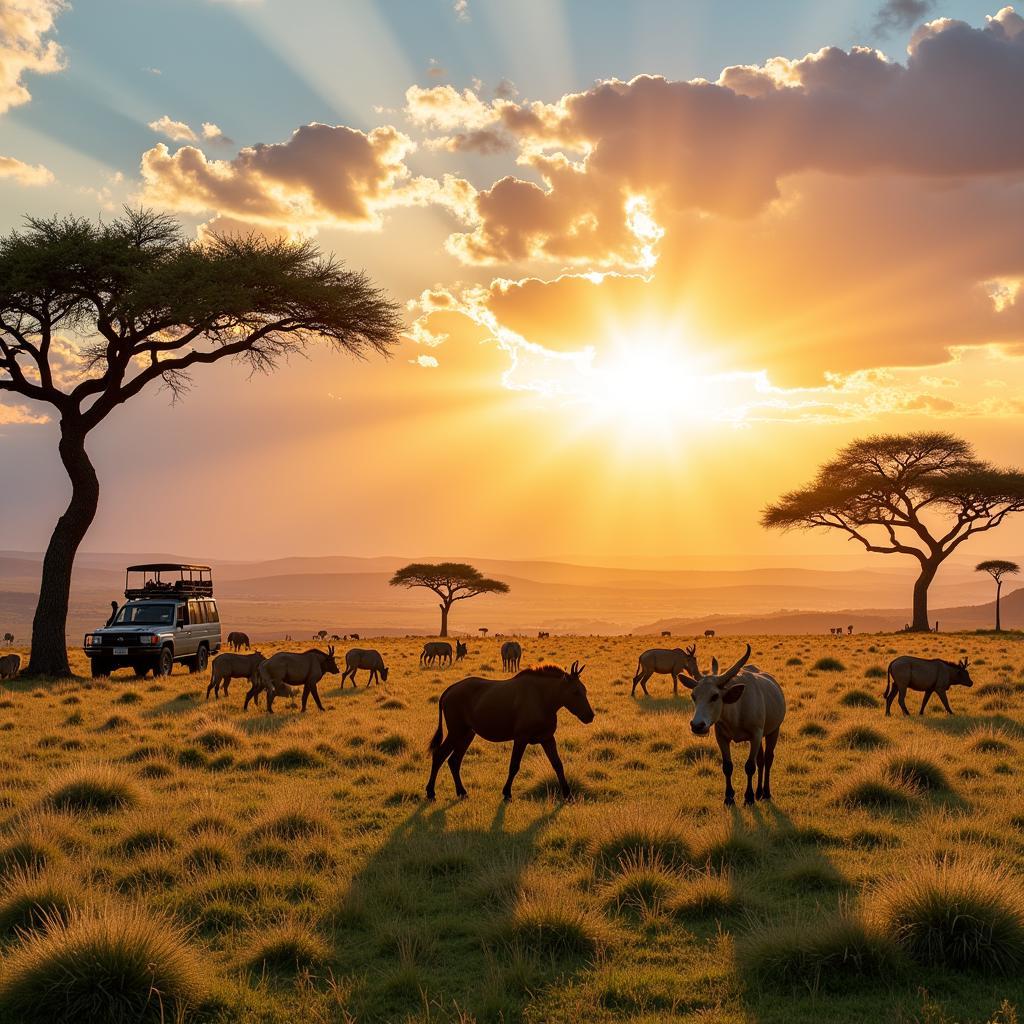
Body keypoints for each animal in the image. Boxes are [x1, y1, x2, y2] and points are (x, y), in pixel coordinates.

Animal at [684, 643, 786, 802]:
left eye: (715, 696)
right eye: (693, 695)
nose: (697, 725)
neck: (736, 713)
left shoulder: (756, 735)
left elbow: (750, 766)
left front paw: (748, 797)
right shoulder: (721, 737)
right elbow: (727, 766)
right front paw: (729, 797)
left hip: (773, 731)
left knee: (768, 759)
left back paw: (766, 793)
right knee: (761, 759)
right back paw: (759, 792)